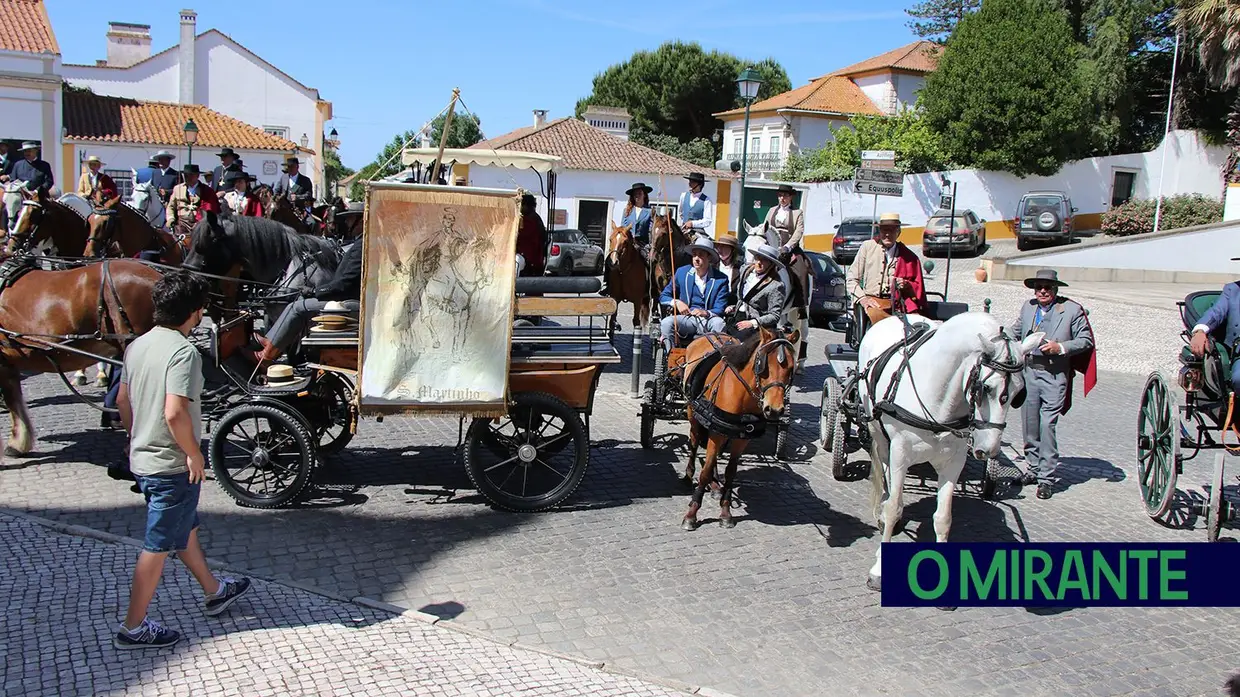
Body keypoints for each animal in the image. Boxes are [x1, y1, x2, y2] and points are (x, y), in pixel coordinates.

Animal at [679, 322, 803, 528]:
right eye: (763, 366)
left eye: (792, 368)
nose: (774, 409)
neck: (742, 393)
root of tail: (710, 333)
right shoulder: (716, 433)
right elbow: (705, 471)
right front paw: (692, 513)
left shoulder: (741, 438)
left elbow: (731, 472)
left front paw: (725, 512)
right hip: (693, 413)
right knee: (695, 443)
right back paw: (689, 476)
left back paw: (715, 486)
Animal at [858, 308, 1041, 585]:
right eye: (986, 387)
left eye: (1019, 391)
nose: (989, 450)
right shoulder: (901, 453)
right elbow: (893, 509)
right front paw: (878, 569)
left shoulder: (954, 462)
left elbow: (943, 518)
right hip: (878, 433)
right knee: (886, 471)